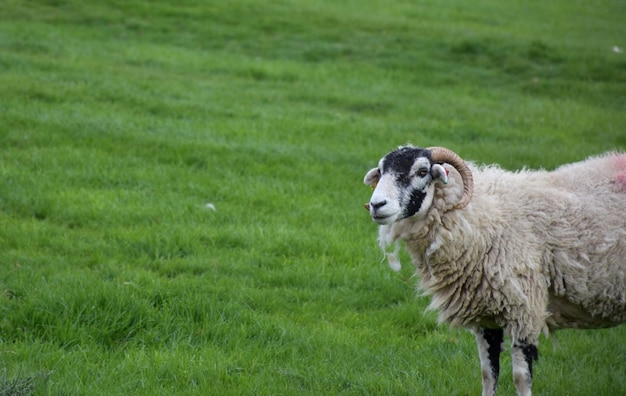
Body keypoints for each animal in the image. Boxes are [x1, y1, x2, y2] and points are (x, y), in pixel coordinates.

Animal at [360, 145, 624, 396]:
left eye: (422, 172)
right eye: (381, 171)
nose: (376, 205)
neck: (481, 217)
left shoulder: (524, 311)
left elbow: (520, 378)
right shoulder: (486, 314)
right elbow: (488, 374)